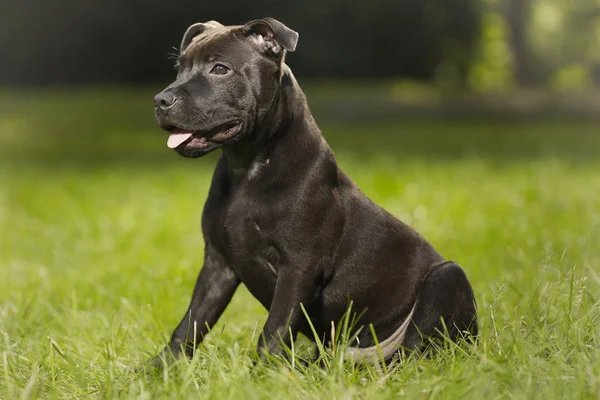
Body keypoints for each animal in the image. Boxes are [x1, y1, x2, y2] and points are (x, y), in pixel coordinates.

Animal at [151, 16, 478, 366]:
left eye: (220, 69)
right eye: (180, 68)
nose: (160, 101)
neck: (248, 167)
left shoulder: (299, 265)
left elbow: (276, 327)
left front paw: (262, 372)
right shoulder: (218, 264)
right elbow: (191, 323)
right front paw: (159, 369)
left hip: (446, 278)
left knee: (413, 350)